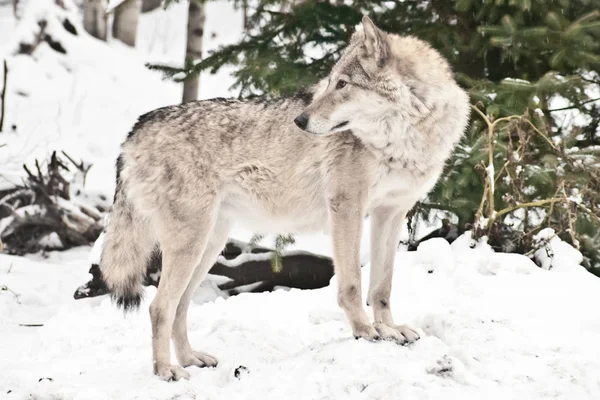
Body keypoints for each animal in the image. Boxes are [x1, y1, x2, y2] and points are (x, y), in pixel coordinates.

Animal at [101, 17, 472, 382]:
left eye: (343, 84)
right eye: (330, 82)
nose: (301, 121)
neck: (405, 141)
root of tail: (136, 128)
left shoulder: (390, 213)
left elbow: (382, 287)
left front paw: (389, 330)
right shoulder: (347, 207)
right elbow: (353, 284)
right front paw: (366, 331)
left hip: (209, 245)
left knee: (179, 306)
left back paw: (191, 359)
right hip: (192, 244)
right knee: (159, 306)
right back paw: (166, 370)